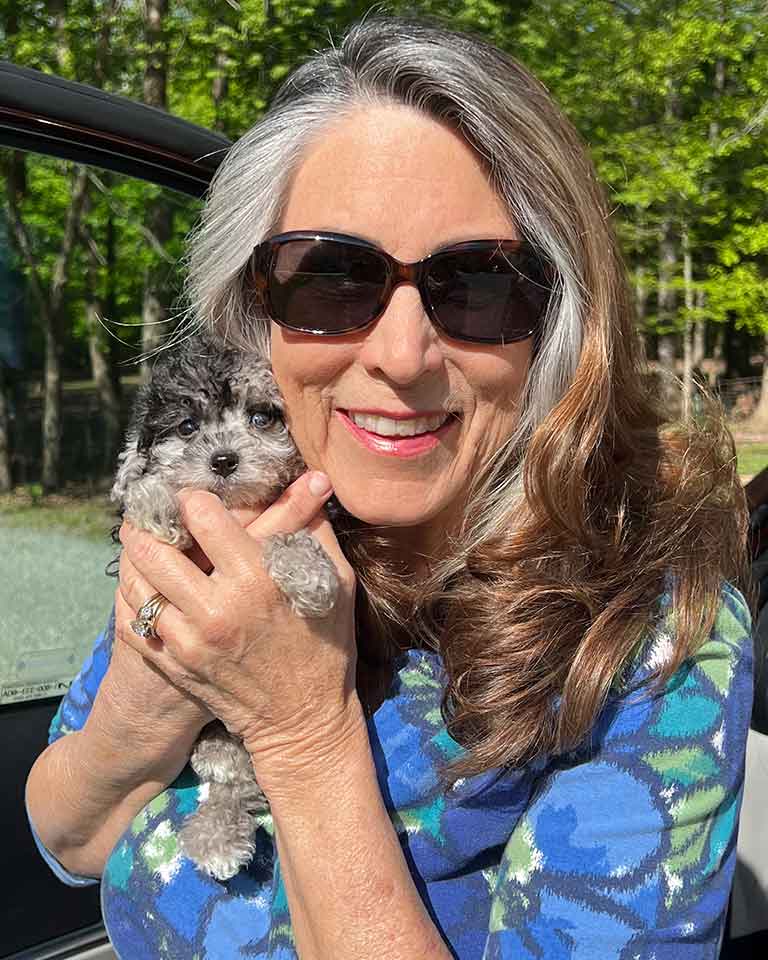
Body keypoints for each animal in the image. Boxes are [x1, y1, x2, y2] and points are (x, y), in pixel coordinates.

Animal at [111, 334, 340, 880]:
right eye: (187, 427)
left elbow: (291, 534)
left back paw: (218, 827)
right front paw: (159, 504)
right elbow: (142, 489)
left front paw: (308, 572)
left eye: (261, 417)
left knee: (241, 785)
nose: (223, 460)